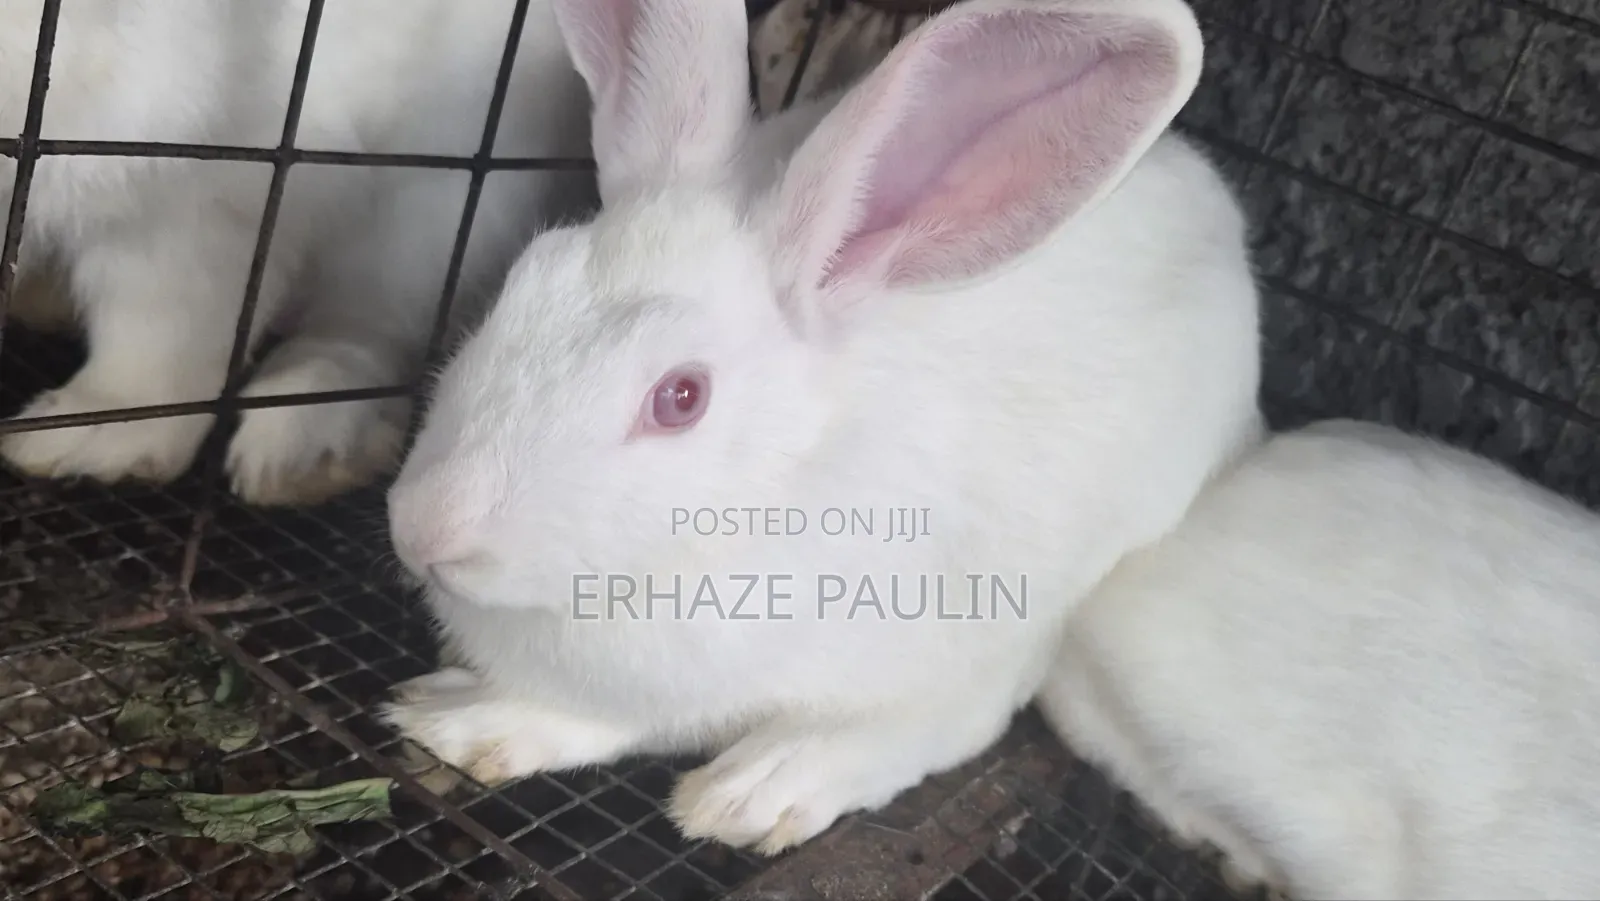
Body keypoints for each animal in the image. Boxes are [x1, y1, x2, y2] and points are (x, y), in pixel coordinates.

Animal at [0, 0, 595, 506]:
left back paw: (303, 451)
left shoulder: (198, 195)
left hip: (442, 198)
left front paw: (86, 436)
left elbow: (161, 338)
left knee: (370, 324)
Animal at [381, 0, 1264, 856]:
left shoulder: (973, 651)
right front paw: (455, 713)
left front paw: (753, 792)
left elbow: (908, 728)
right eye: (520, 286)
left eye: (681, 397)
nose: (425, 528)